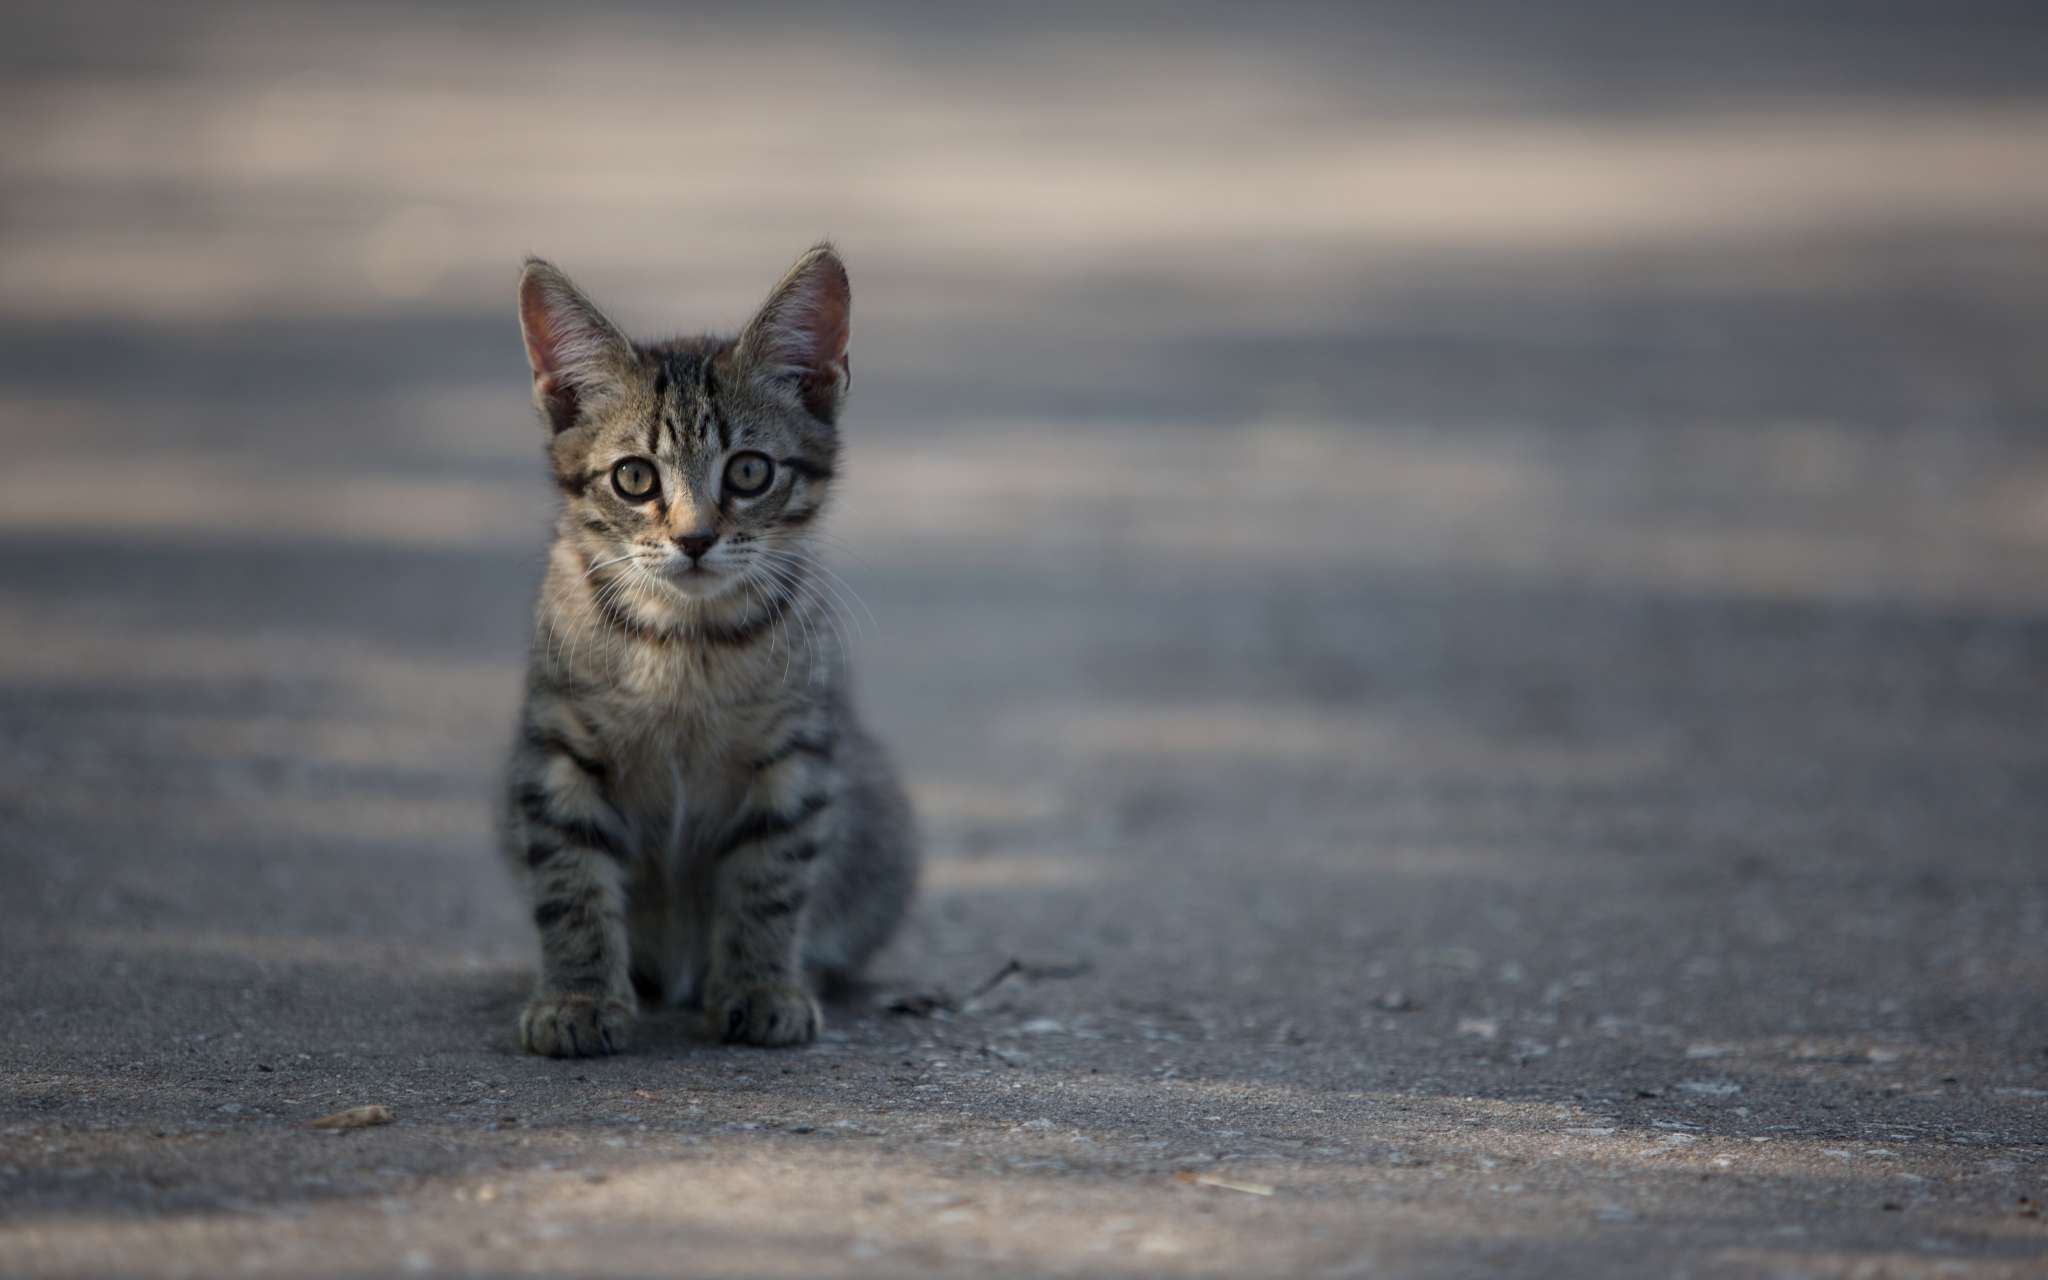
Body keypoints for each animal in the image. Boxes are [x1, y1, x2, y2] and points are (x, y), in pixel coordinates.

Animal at [499, 244, 917, 1056]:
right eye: (634, 477)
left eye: (750, 470)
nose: (694, 539)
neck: (684, 642)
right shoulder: (557, 748)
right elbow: (570, 880)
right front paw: (577, 997)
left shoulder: (795, 751)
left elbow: (771, 878)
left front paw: (761, 986)